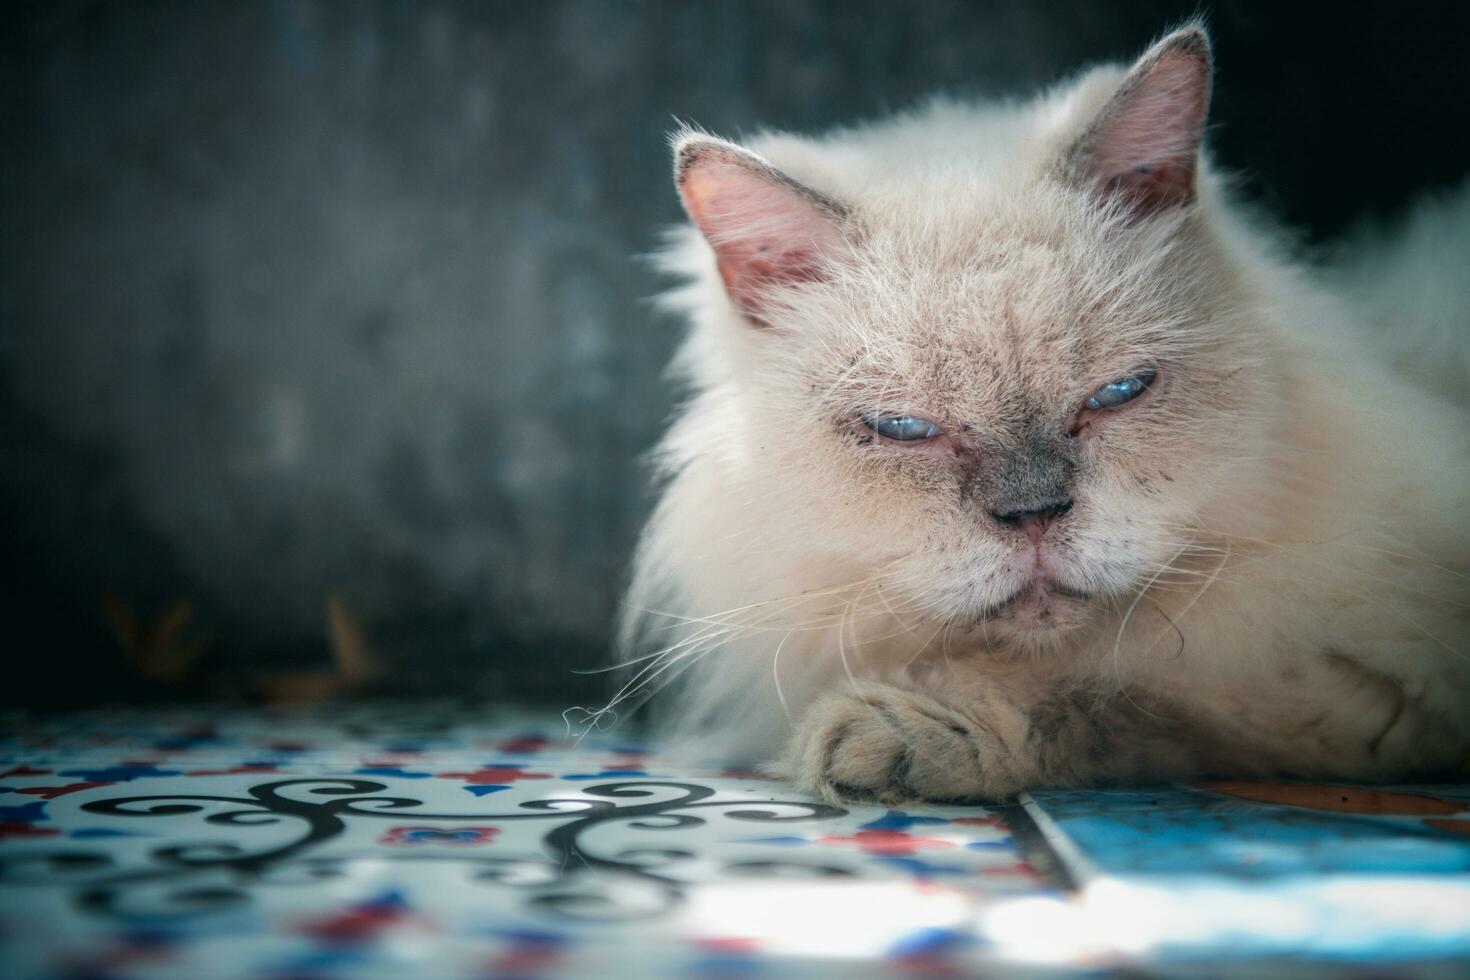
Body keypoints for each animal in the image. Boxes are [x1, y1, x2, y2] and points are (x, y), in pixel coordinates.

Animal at [608, 22, 1470, 805]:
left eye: (1118, 393)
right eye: (904, 430)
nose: (1033, 517)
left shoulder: (1352, 682)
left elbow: (1114, 688)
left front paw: (889, 732)